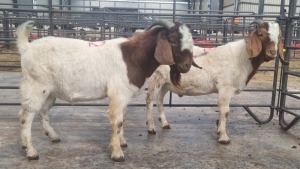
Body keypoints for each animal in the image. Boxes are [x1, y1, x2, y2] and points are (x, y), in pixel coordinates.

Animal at [15, 20, 200, 162]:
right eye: (173, 40)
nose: (186, 66)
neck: (134, 56)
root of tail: (26, 48)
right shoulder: (118, 93)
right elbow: (117, 121)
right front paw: (117, 153)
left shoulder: (124, 95)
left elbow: (122, 118)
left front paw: (121, 142)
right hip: (37, 86)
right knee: (26, 115)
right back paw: (31, 152)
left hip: (50, 92)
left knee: (42, 112)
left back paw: (50, 137)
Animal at [145, 20, 288, 143]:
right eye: (261, 34)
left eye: (279, 37)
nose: (272, 52)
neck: (241, 57)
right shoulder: (226, 87)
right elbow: (225, 110)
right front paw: (224, 137)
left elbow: (221, 110)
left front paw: (219, 131)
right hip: (155, 79)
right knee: (150, 100)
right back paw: (151, 128)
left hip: (165, 83)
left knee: (159, 100)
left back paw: (165, 124)